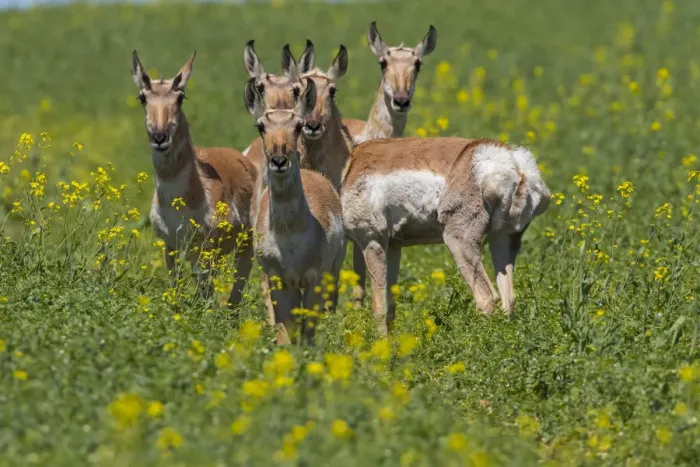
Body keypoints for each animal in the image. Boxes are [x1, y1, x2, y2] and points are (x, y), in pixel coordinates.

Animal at [131, 51, 256, 307]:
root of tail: (243, 159)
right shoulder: (170, 247)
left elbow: (205, 295)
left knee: (236, 294)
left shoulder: (207, 251)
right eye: (142, 98)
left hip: (245, 247)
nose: (160, 136)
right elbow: (177, 287)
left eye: (180, 97)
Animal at [244, 78, 345, 344]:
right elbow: (286, 329)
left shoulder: (314, 279)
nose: (279, 161)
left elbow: (308, 329)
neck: (290, 237)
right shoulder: (280, 280)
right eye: (261, 126)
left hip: (334, 269)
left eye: (298, 125)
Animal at [341, 137, 551, 335]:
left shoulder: (372, 242)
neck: (351, 164)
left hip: (458, 240)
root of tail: (514, 163)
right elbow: (391, 306)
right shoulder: (393, 247)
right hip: (502, 238)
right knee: (509, 298)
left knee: (487, 298)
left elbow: (379, 308)